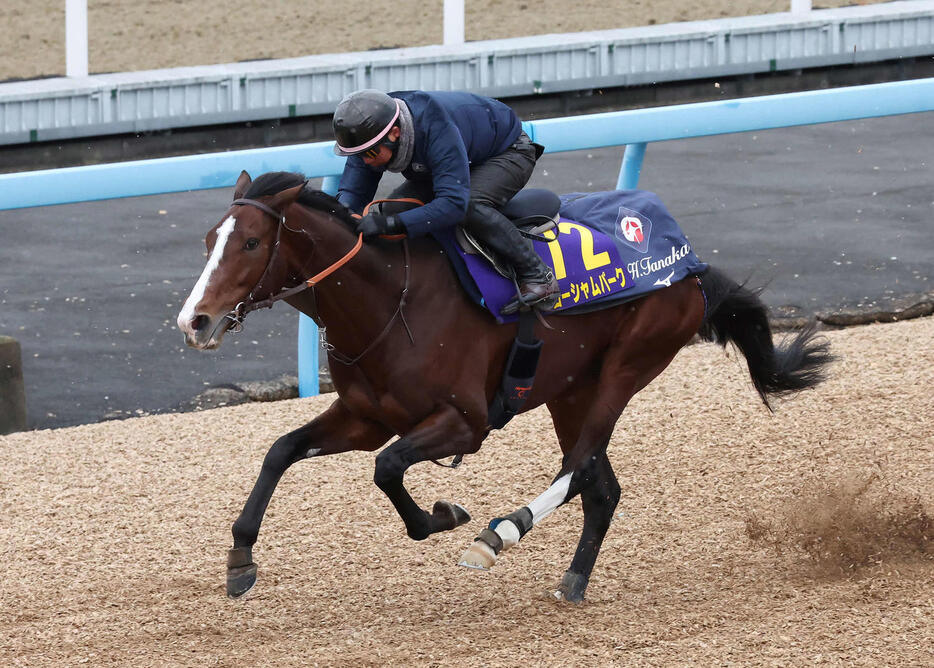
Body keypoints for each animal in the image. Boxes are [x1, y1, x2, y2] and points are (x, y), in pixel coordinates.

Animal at [176, 171, 832, 600]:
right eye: (208, 241)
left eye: (252, 242)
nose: (195, 321)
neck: (391, 299)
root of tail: (690, 261)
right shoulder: (367, 416)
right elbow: (281, 450)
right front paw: (240, 556)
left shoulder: (464, 422)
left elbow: (387, 468)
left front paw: (444, 516)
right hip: (571, 388)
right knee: (601, 486)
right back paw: (573, 582)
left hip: (628, 365)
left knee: (579, 466)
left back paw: (500, 533)